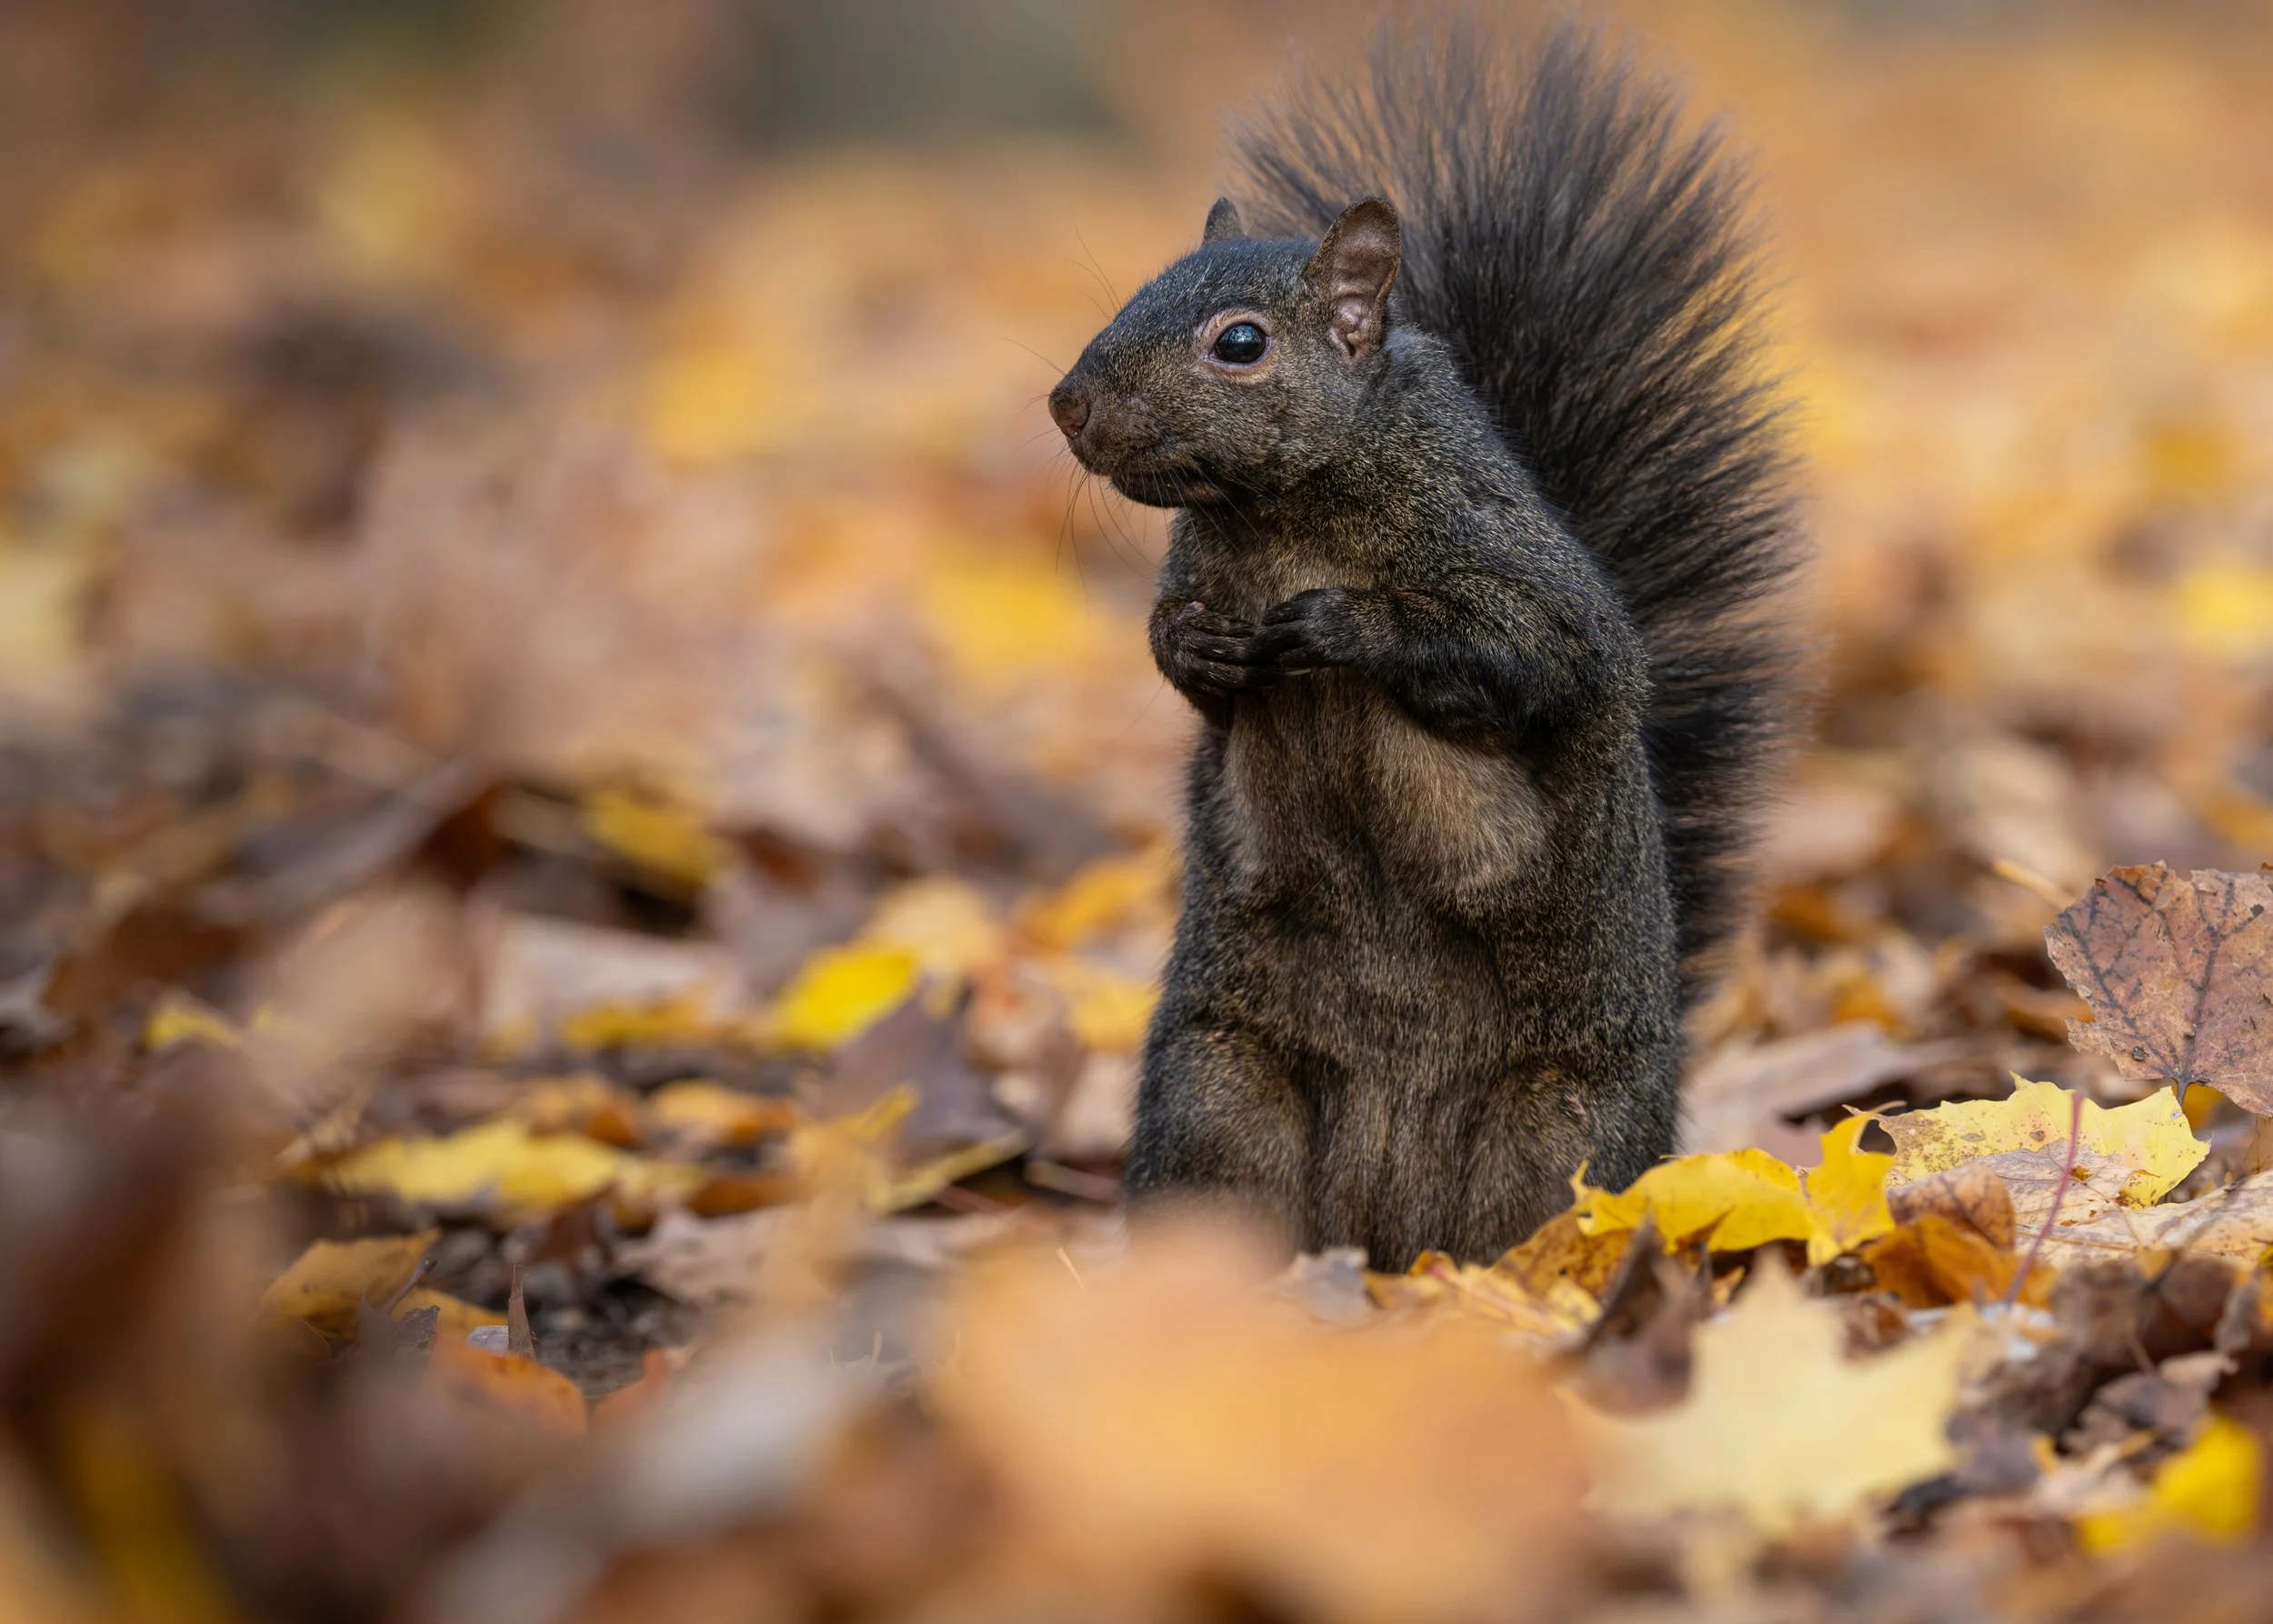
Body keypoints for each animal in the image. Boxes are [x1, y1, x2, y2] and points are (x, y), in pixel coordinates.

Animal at [1047, 23, 1799, 1267]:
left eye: (1239, 343)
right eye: (1136, 291)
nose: (1067, 405)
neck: (1280, 516)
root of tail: (1389, 1238)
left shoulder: (1528, 584)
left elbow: (1533, 658)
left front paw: (1340, 624)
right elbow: (1181, 658)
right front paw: (1201, 650)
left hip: (1560, 1131)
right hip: (1221, 1091)